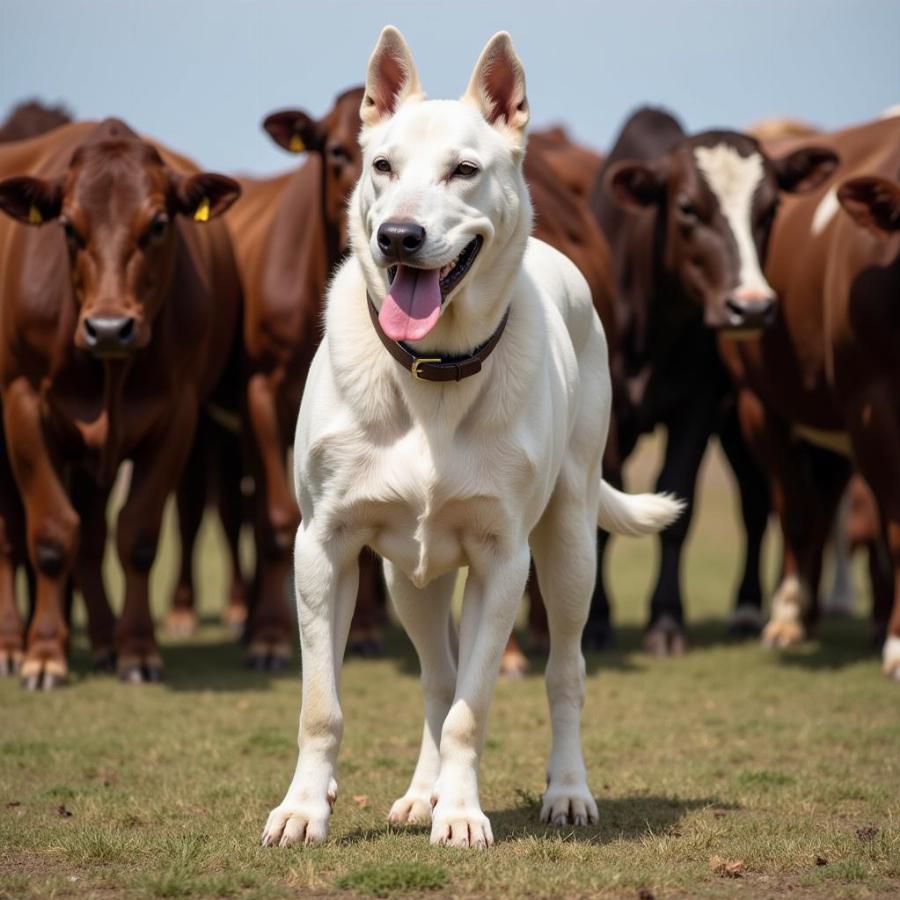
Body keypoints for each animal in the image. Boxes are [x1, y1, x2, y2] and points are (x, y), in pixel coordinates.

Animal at [0, 119, 241, 688]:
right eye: (67, 226)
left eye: (158, 224)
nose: (109, 327)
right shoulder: (22, 404)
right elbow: (49, 535)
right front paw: (45, 654)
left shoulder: (177, 416)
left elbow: (136, 534)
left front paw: (136, 650)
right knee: (10, 538)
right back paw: (12, 644)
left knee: (91, 535)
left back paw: (106, 641)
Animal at [262, 24, 684, 848]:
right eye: (381, 165)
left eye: (464, 171)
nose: (398, 236)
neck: (433, 367)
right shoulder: (323, 546)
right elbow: (324, 705)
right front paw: (304, 808)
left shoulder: (503, 560)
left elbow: (474, 707)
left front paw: (459, 814)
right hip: (408, 577)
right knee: (436, 673)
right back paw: (420, 792)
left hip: (570, 546)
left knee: (564, 672)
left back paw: (568, 792)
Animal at [592, 107, 836, 652]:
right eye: (686, 207)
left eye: (770, 208)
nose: (751, 306)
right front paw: (595, 618)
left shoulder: (700, 406)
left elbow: (677, 501)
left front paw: (665, 622)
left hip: (741, 422)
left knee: (756, 503)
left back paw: (749, 610)